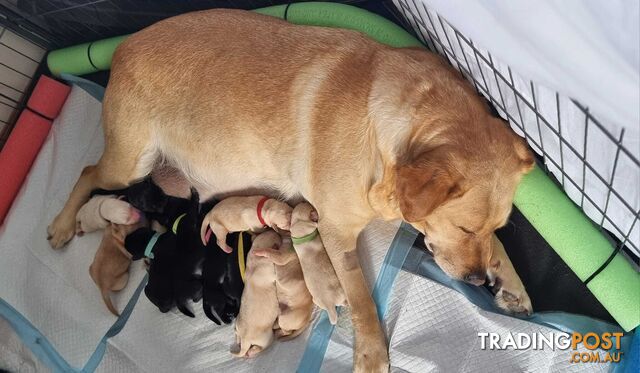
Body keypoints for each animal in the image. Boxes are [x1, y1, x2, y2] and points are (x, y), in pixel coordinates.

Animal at [231, 230, 278, 358]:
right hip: (266, 338)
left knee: (236, 333)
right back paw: (252, 351)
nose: (274, 230)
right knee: (260, 347)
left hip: (238, 324)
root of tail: (245, 341)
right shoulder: (271, 271)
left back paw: (238, 341)